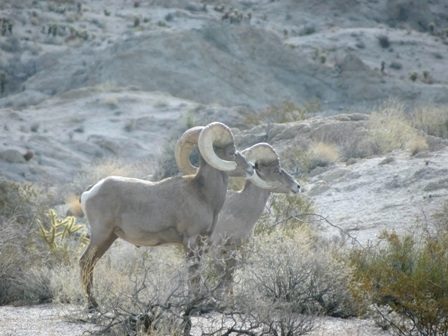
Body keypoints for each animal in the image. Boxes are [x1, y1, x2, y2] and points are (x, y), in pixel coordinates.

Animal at [79, 121, 252, 310]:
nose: (251, 167)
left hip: (109, 238)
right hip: (101, 235)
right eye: (231, 152)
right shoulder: (191, 240)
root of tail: (90, 192)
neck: (204, 194)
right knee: (85, 262)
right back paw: (93, 304)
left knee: (91, 264)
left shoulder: (202, 242)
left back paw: (94, 303)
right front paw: (195, 302)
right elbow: (193, 274)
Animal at [177, 142, 300, 296]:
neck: (239, 212)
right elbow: (223, 278)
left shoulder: (233, 250)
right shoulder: (216, 250)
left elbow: (230, 279)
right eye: (276, 170)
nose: (297, 186)